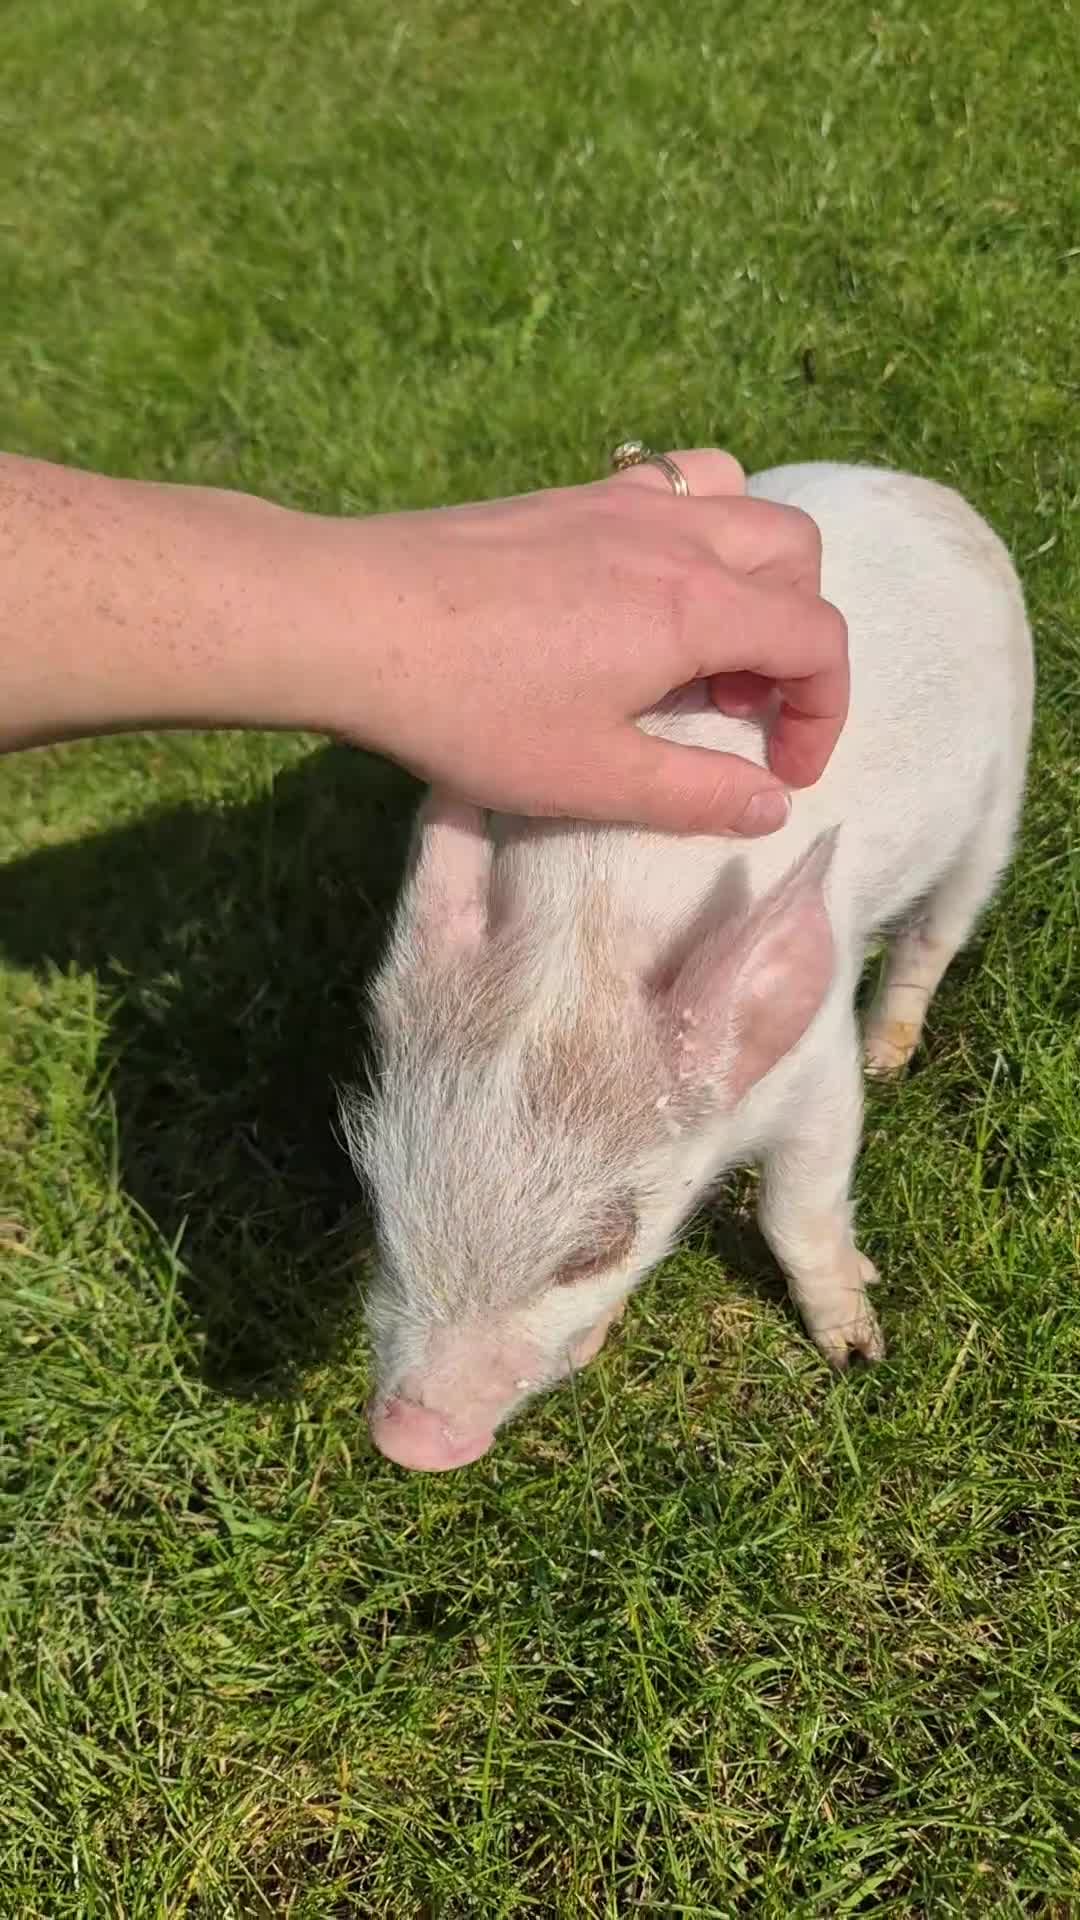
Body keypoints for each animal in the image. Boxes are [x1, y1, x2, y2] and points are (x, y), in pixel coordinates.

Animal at [345, 462, 1034, 1471]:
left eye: (594, 1249)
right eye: (384, 1203)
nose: (410, 1443)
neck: (588, 931)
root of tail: (910, 482)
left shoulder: (814, 1067)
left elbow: (800, 1204)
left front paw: (857, 1349)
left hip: (1004, 781)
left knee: (939, 929)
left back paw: (891, 1054)